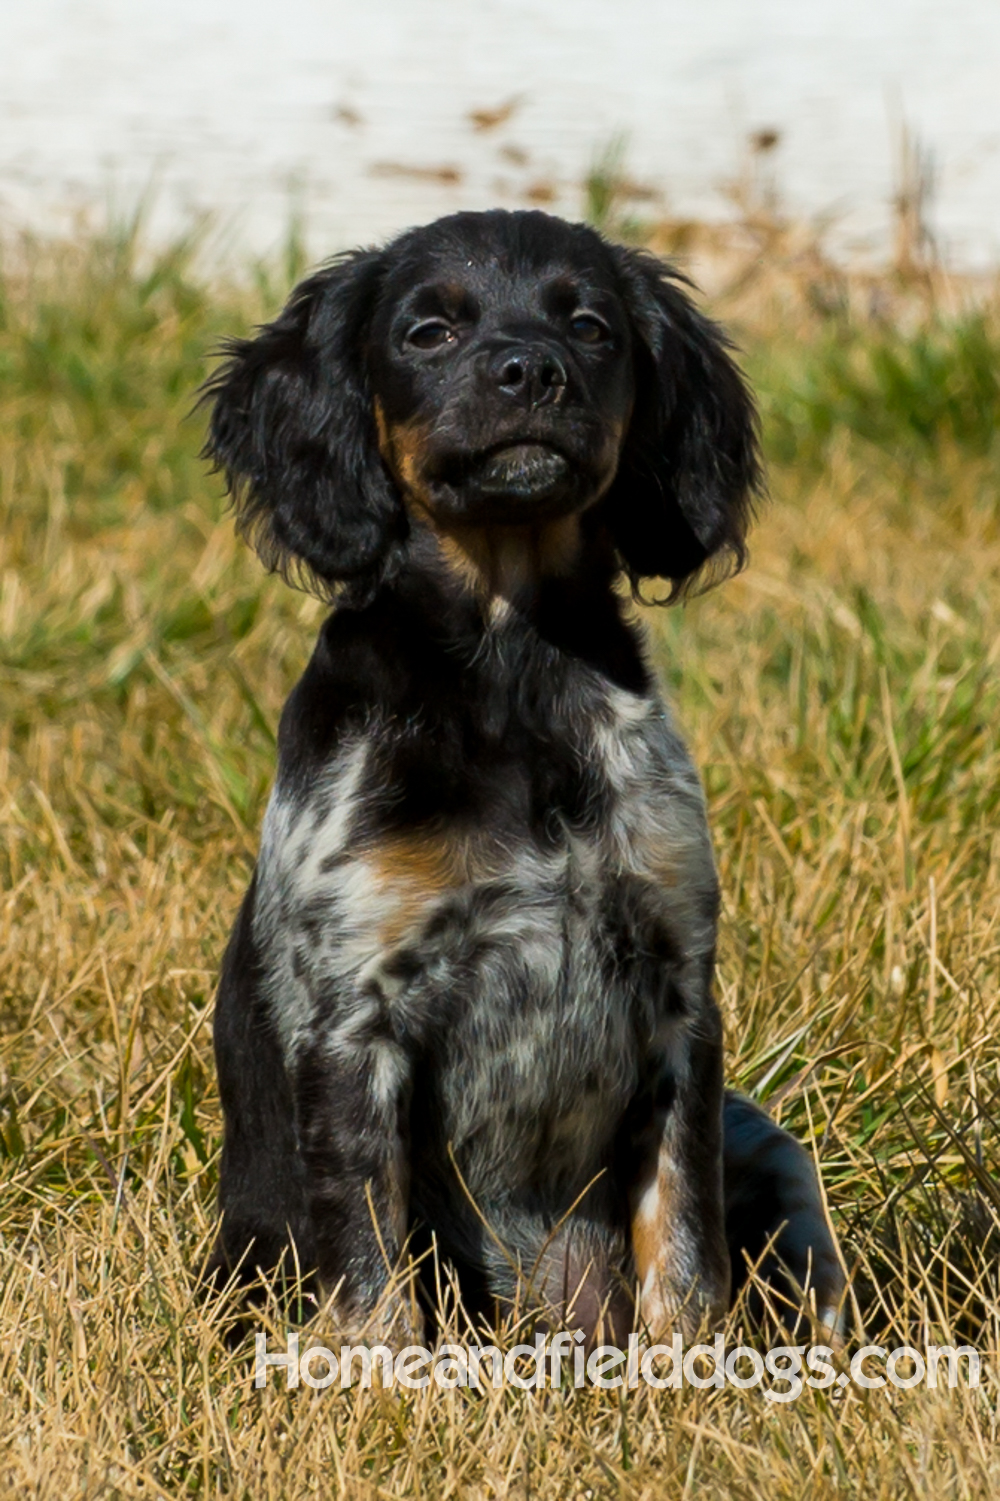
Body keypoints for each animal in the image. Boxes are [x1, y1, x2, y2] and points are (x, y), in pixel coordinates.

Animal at [202, 208, 840, 1338]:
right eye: (426, 331)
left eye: (589, 326)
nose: (531, 371)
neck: (513, 670)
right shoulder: (350, 1020)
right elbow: (371, 1280)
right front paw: (381, 1376)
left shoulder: (678, 997)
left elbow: (685, 1246)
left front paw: (688, 1369)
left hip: (773, 1150)